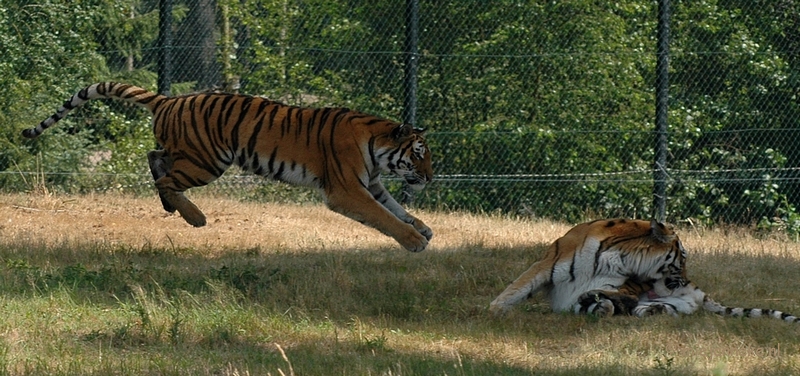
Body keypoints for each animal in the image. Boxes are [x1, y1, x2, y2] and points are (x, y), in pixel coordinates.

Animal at [21, 82, 434, 253]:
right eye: (418, 154)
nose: (430, 177)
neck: (376, 146)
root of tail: (168, 100)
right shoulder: (347, 189)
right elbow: (384, 217)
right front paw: (414, 242)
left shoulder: (372, 184)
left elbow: (397, 209)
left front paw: (424, 229)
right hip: (207, 162)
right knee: (167, 177)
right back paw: (194, 217)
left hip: (191, 155)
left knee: (155, 159)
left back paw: (175, 209)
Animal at [488, 219, 800, 324]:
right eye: (683, 257)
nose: (685, 278)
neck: (622, 257)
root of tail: (700, 292)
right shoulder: (548, 264)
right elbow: (517, 287)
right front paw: (494, 311)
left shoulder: (618, 283)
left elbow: (610, 294)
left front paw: (600, 302)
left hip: (676, 304)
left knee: (659, 310)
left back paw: (644, 309)